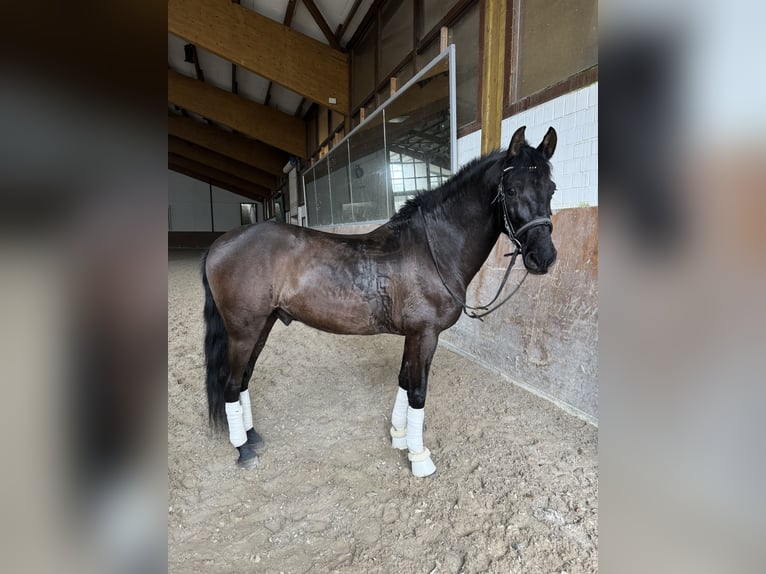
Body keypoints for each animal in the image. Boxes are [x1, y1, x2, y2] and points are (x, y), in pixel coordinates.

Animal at [201, 126, 556, 476]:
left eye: (551, 189)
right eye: (511, 189)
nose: (544, 257)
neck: (432, 250)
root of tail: (220, 244)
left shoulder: (413, 335)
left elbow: (404, 381)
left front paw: (399, 437)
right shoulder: (426, 334)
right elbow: (418, 392)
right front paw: (419, 458)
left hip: (263, 325)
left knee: (243, 380)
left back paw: (252, 437)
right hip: (243, 332)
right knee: (231, 385)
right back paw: (244, 450)